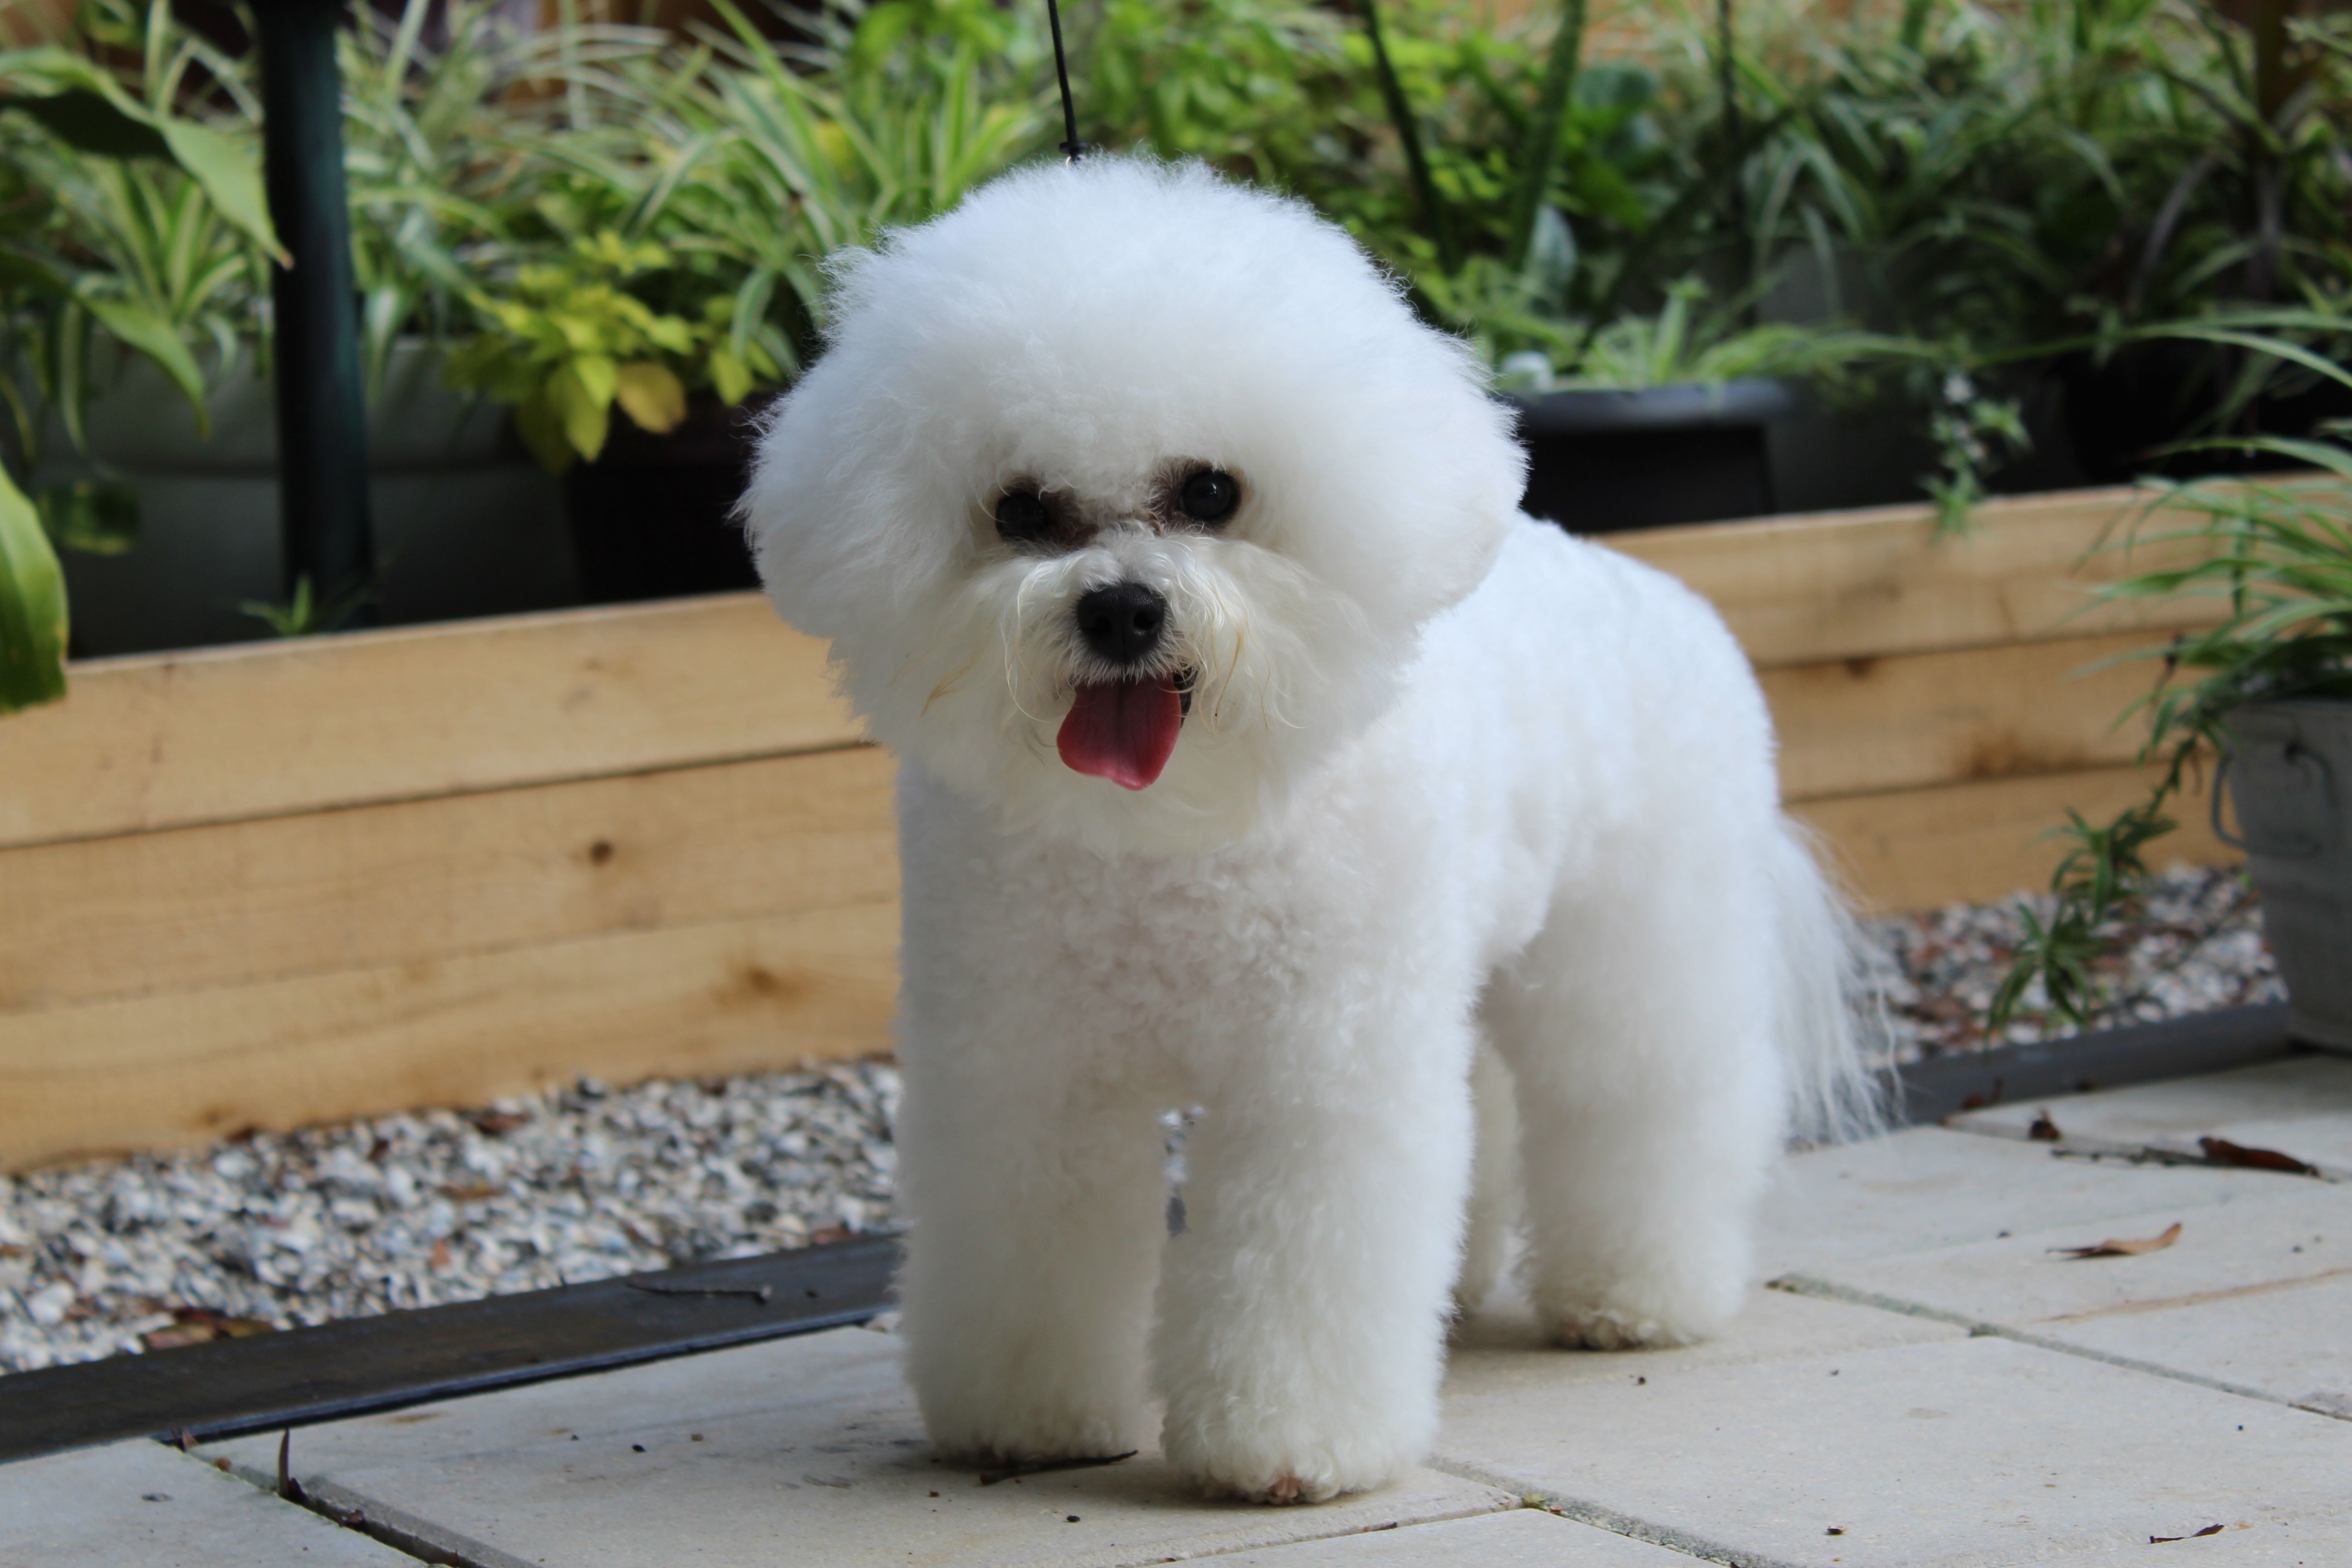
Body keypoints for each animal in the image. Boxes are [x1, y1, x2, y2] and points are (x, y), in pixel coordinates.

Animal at [743, 156, 1882, 1504]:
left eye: (1210, 491)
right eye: (1021, 509)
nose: (1121, 611)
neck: (1168, 841)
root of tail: (1656, 589)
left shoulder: (1317, 1067)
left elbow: (1302, 1253)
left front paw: (1285, 1446)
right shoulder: (1026, 1069)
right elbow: (1030, 1239)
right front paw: (1028, 1415)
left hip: (1633, 950)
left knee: (1645, 1099)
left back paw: (1636, 1296)